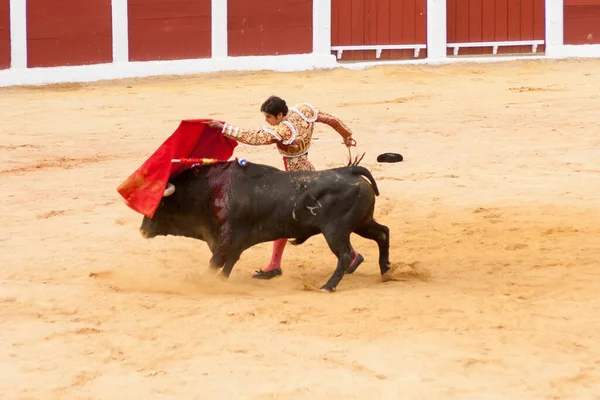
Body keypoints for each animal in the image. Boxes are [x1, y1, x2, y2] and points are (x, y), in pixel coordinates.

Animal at [141, 158, 394, 292]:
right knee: (382, 233)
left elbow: (216, 261)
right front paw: (221, 280)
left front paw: (202, 282)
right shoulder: (235, 241)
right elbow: (228, 262)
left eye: (159, 205)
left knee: (345, 254)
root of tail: (349, 170)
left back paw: (328, 286)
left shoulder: (228, 235)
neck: (211, 191)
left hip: (336, 230)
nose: (142, 231)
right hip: (362, 223)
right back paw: (386, 270)